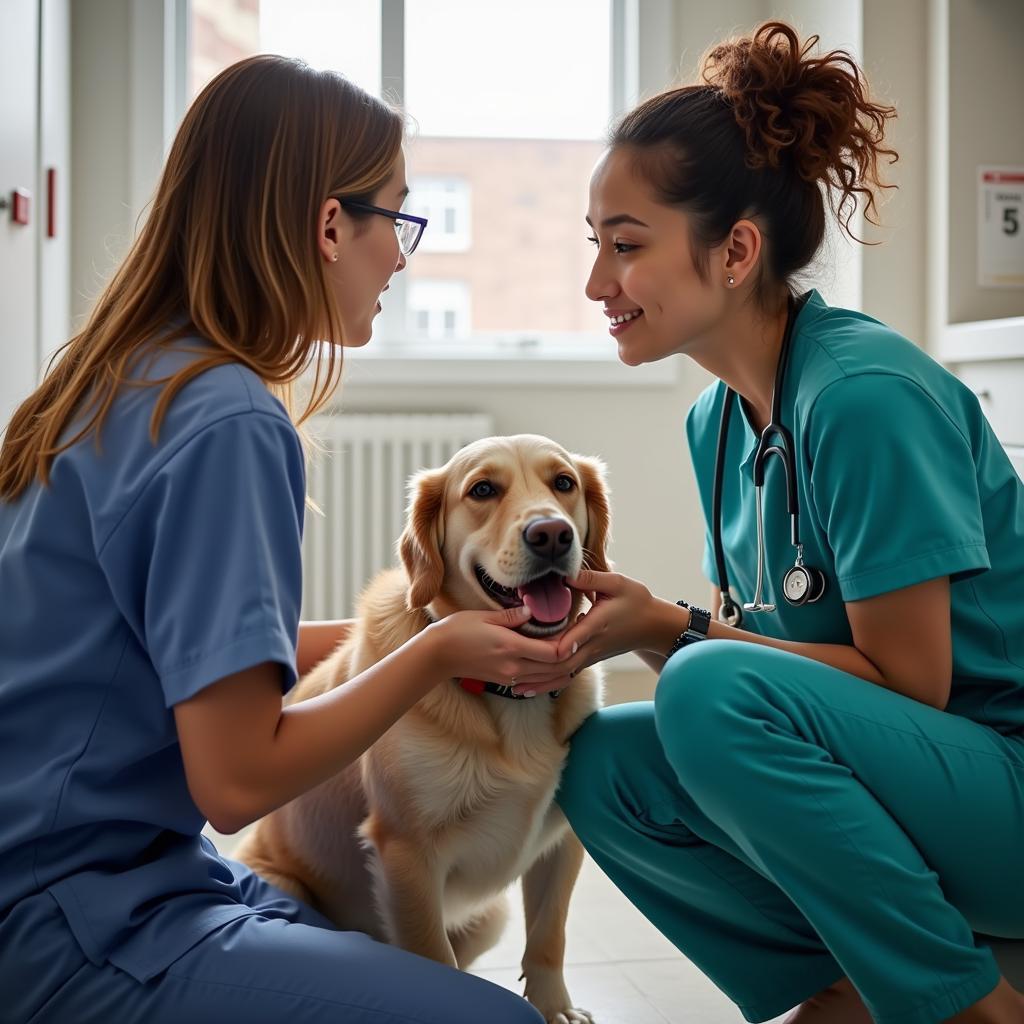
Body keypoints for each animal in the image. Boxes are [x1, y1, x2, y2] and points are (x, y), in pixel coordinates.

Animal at [235, 434, 610, 1024]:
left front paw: (554, 1009)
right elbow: (433, 955)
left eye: (564, 483)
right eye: (482, 490)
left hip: (490, 917)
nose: (551, 534)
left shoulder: (563, 839)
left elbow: (549, 936)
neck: (507, 698)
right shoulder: (406, 853)